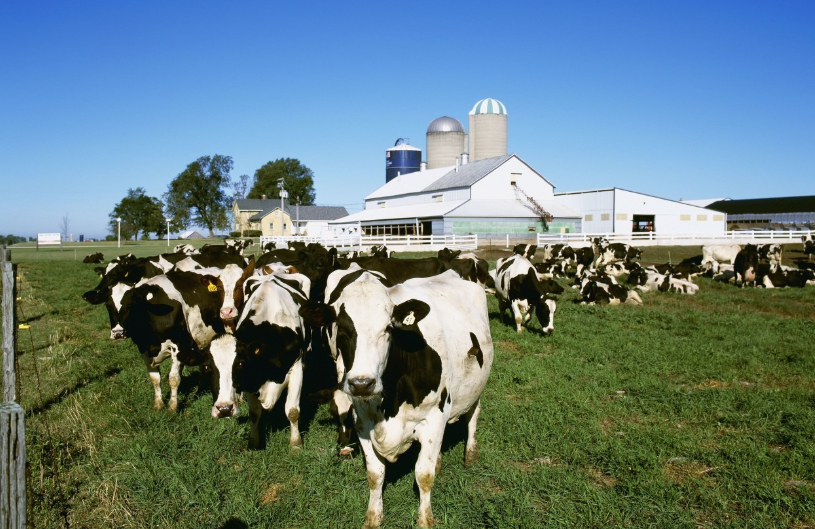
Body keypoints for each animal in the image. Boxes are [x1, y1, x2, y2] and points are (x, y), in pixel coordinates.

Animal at [300, 268, 490, 528]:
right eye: (341, 328)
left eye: (388, 328)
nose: (361, 383)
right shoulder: (363, 423)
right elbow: (374, 474)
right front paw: (373, 517)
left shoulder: (434, 417)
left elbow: (424, 475)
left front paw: (425, 520)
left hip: (476, 388)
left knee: (472, 416)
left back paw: (470, 454)